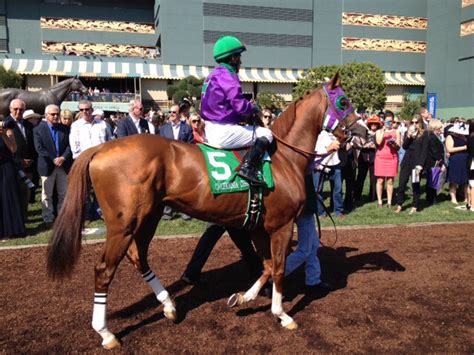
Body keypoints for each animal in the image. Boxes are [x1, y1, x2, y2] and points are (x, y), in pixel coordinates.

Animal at [48, 73, 360, 350]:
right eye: (344, 101)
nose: (362, 132)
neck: (284, 158)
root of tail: (99, 149)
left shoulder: (258, 226)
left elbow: (268, 267)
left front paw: (242, 298)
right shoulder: (281, 226)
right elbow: (279, 268)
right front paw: (282, 314)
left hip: (148, 216)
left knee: (138, 256)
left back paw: (169, 306)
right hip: (124, 224)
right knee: (104, 270)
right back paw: (106, 333)